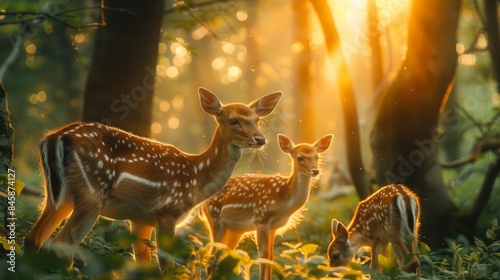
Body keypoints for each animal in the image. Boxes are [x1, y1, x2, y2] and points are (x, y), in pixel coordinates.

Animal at [24, 87, 282, 272]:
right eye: (233, 120)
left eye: (257, 120)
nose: (260, 139)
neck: (196, 178)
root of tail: (53, 139)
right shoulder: (167, 211)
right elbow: (165, 265)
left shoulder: (140, 219)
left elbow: (142, 264)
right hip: (91, 194)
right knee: (63, 246)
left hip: (57, 195)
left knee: (33, 239)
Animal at [201, 132, 334, 278]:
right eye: (300, 158)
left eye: (317, 156)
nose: (315, 171)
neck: (285, 201)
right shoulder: (261, 220)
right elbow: (263, 256)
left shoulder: (273, 226)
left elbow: (271, 257)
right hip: (215, 219)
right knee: (211, 256)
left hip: (235, 230)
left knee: (222, 255)